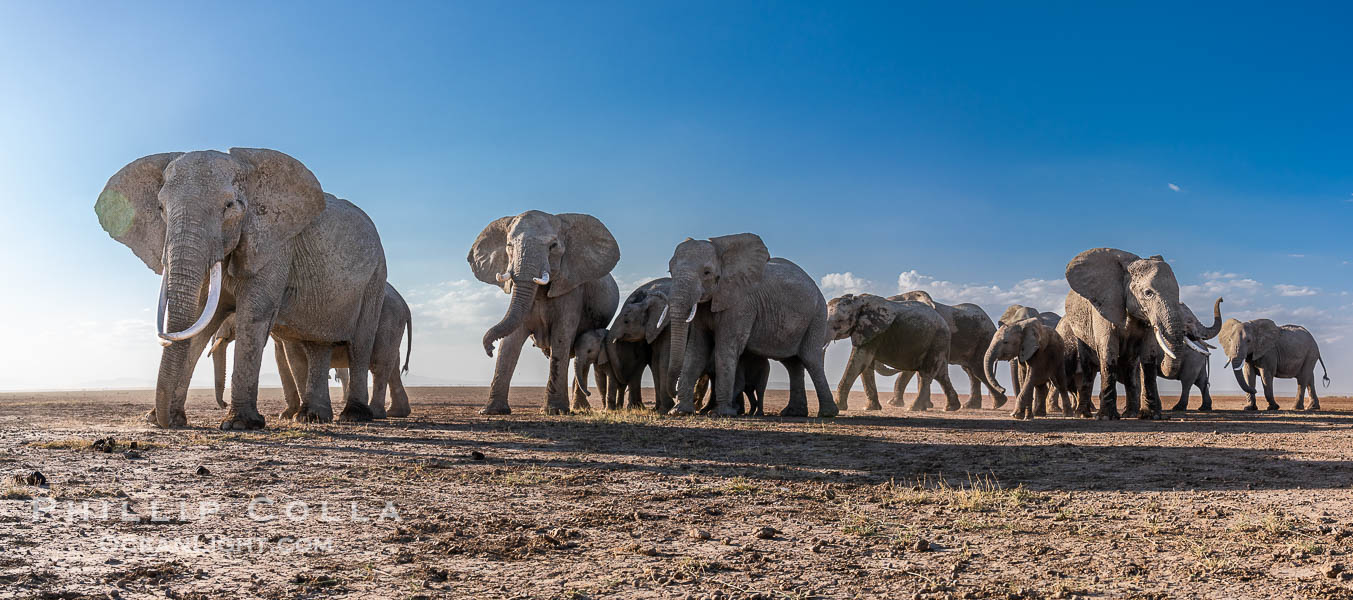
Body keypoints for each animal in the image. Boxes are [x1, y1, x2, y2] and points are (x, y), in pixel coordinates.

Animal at [96, 149, 387, 429]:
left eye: (229, 206)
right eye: (160, 208)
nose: (162, 422)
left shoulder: (274, 245)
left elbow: (253, 315)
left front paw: (239, 423)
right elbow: (200, 320)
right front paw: (164, 419)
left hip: (376, 278)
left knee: (360, 344)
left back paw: (353, 416)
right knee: (317, 344)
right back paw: (311, 417)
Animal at [469, 211, 620, 415]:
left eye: (553, 246)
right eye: (509, 246)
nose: (489, 349)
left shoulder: (571, 289)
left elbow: (561, 336)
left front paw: (555, 411)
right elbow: (510, 341)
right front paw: (492, 411)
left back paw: (580, 409)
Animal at [664, 233, 838, 418]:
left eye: (706, 272)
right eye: (670, 271)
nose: (674, 393)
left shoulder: (741, 304)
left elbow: (725, 348)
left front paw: (721, 413)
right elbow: (697, 350)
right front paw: (678, 411)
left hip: (818, 315)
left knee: (811, 358)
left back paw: (827, 414)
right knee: (792, 363)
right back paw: (794, 413)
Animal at [865, 291, 1003, 411]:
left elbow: (910, 370)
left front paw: (894, 404)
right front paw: (926, 405)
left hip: (984, 339)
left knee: (978, 369)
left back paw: (998, 404)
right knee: (970, 371)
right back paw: (971, 406)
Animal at [1061, 248, 1208, 420]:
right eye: (1148, 293)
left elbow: (1148, 356)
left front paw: (1151, 416)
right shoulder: (1105, 307)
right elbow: (1108, 350)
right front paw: (1106, 417)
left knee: (1131, 367)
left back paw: (1130, 413)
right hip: (1079, 333)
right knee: (1088, 368)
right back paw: (1083, 415)